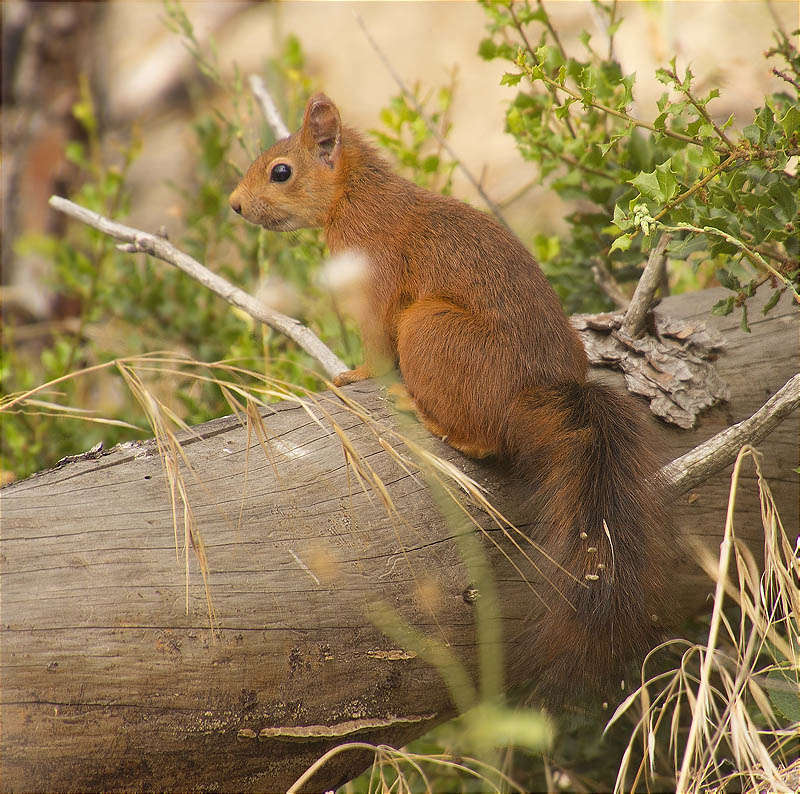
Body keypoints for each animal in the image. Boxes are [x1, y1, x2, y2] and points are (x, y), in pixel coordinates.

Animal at [230, 94, 668, 700]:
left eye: (281, 171)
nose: (235, 205)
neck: (356, 197)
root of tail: (539, 393)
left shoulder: (376, 278)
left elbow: (375, 345)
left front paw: (353, 376)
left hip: (428, 329)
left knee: (483, 440)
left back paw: (422, 411)